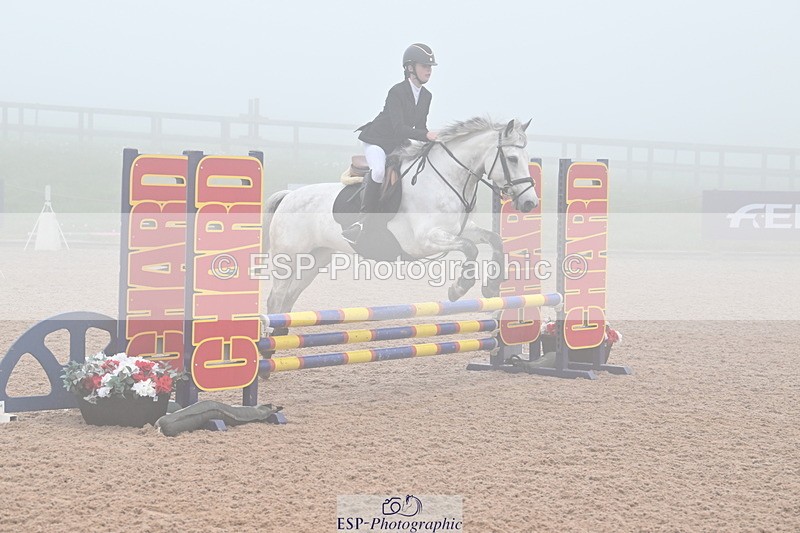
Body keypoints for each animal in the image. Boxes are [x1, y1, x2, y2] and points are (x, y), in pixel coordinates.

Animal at [263, 117, 538, 331]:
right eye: (512, 158)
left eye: (527, 158)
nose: (530, 203)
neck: (444, 180)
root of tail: (288, 196)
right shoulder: (423, 241)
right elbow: (469, 248)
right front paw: (458, 289)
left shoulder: (458, 230)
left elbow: (495, 240)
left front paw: (491, 287)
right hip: (289, 258)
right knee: (276, 299)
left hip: (316, 258)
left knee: (289, 298)